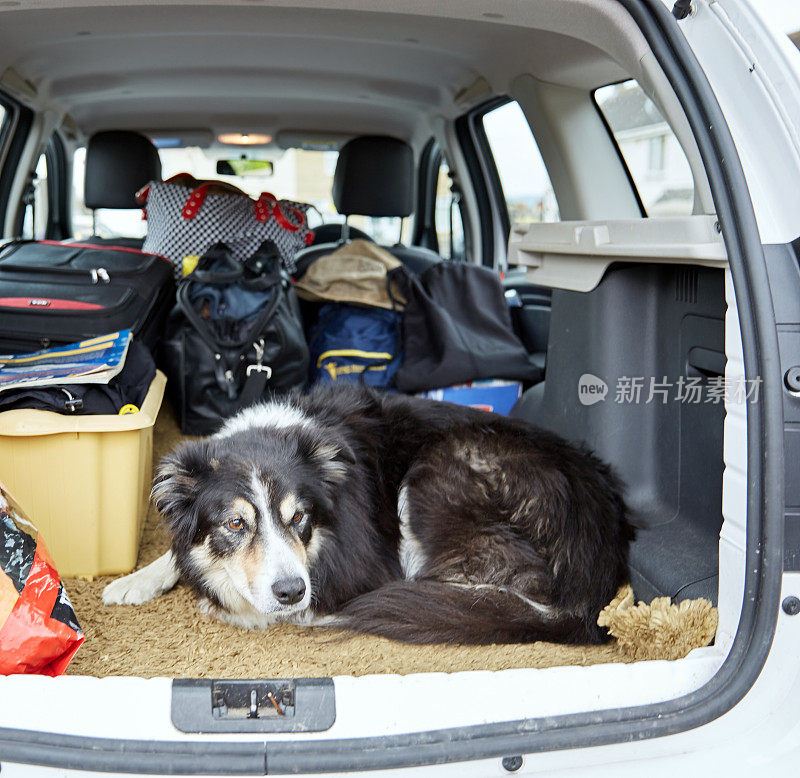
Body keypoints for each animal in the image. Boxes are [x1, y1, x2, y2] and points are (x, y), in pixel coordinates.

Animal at [103, 382, 636, 644]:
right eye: (236, 524)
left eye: (300, 517)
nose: (292, 591)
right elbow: (178, 553)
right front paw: (137, 579)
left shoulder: (363, 562)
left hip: (437, 471)